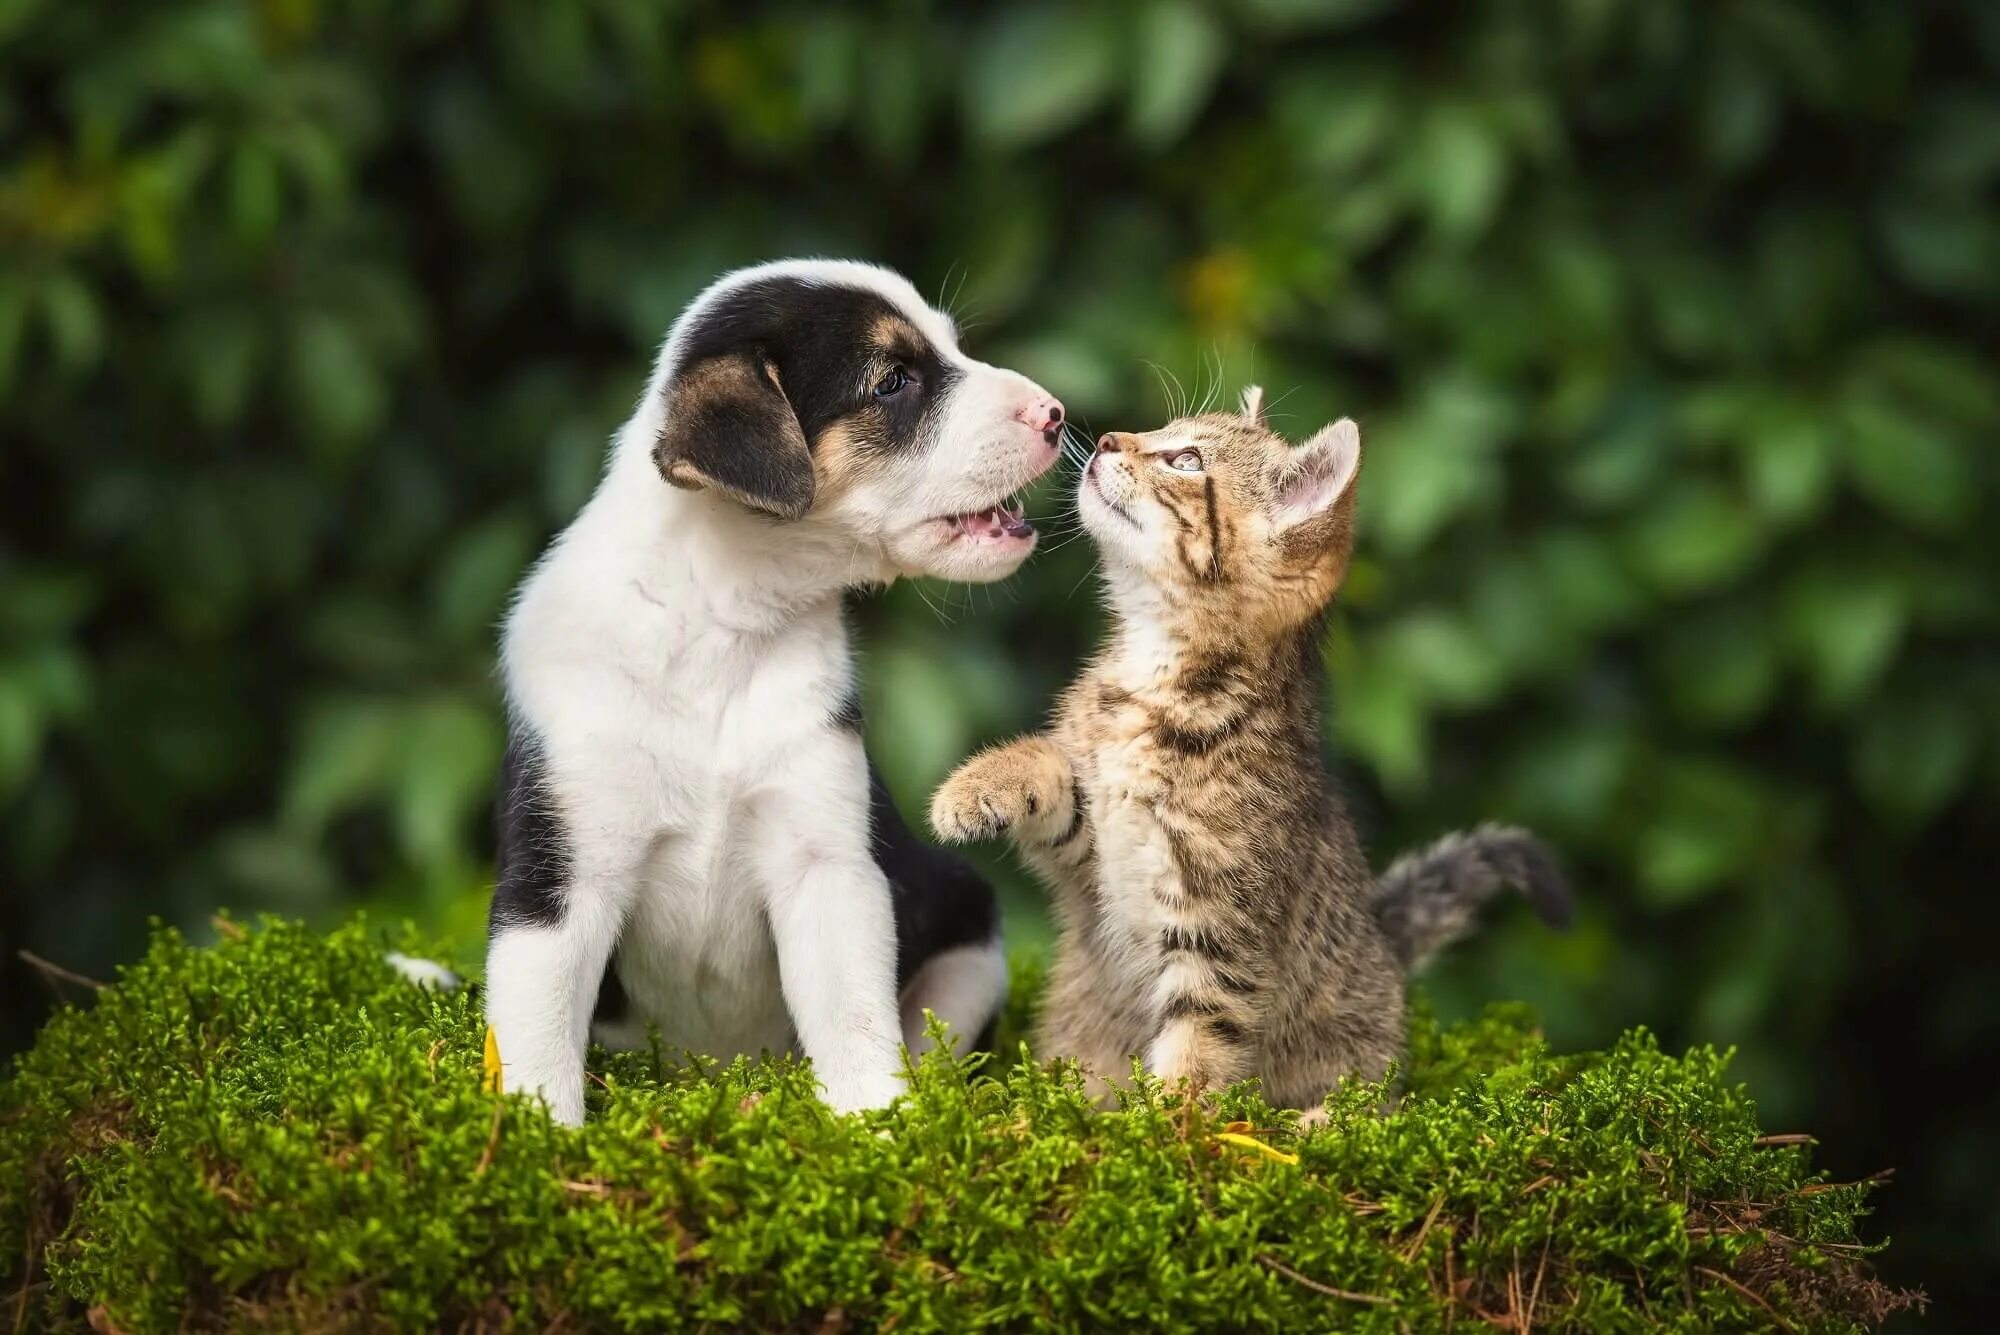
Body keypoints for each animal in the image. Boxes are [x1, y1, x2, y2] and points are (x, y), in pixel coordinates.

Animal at [486, 255, 1072, 1119]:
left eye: (950, 348)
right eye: (893, 380)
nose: (1056, 414)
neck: (723, 623)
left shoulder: (826, 866)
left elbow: (855, 1024)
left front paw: (877, 1126)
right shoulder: (555, 885)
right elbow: (538, 1041)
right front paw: (541, 1137)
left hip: (970, 939)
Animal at [928, 387, 1568, 1119]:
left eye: (1185, 459)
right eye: (1160, 431)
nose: (1109, 439)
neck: (1157, 680)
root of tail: (1384, 947)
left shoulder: (1218, 930)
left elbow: (1197, 1046)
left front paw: (1162, 1127)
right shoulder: (1095, 852)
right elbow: (1054, 773)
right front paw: (975, 787)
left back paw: (1319, 1123)